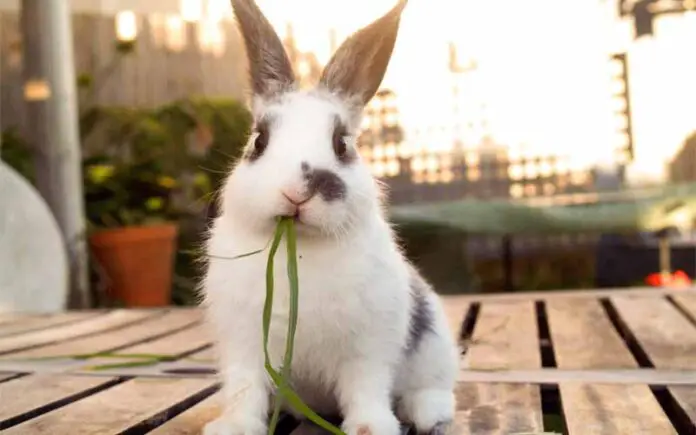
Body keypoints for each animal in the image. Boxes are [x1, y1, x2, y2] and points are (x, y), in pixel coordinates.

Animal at [200, 0, 462, 435]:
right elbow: (244, 390)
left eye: (342, 144)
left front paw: (371, 428)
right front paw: (233, 427)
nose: (297, 191)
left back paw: (426, 412)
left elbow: (365, 388)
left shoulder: (368, 347)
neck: (301, 248)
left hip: (435, 345)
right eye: (259, 141)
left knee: (433, 388)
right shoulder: (243, 345)